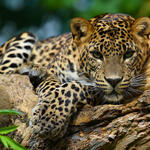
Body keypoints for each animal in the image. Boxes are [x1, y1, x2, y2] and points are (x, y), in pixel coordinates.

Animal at [0, 12, 150, 141]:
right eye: (96, 54)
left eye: (129, 54)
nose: (114, 81)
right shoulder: (52, 71)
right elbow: (51, 86)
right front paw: (48, 114)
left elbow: (73, 87)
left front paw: (48, 118)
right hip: (26, 37)